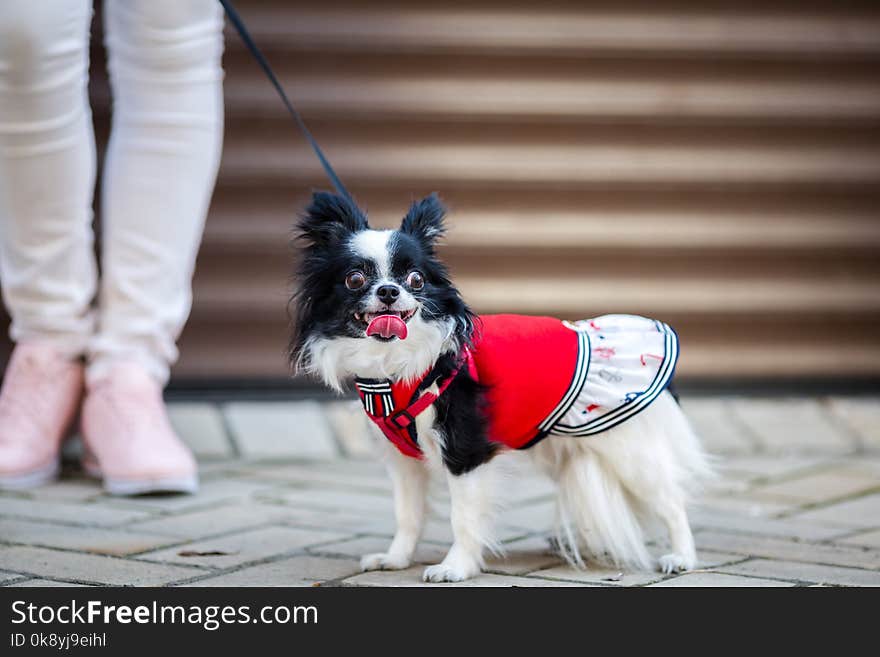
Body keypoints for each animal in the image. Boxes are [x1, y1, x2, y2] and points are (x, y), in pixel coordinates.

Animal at [290, 190, 716, 580]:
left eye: (416, 279)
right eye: (355, 279)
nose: (390, 291)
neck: (398, 364)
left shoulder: (465, 453)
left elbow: (463, 517)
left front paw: (456, 568)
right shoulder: (404, 463)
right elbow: (407, 514)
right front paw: (396, 559)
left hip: (628, 450)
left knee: (671, 500)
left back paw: (682, 558)